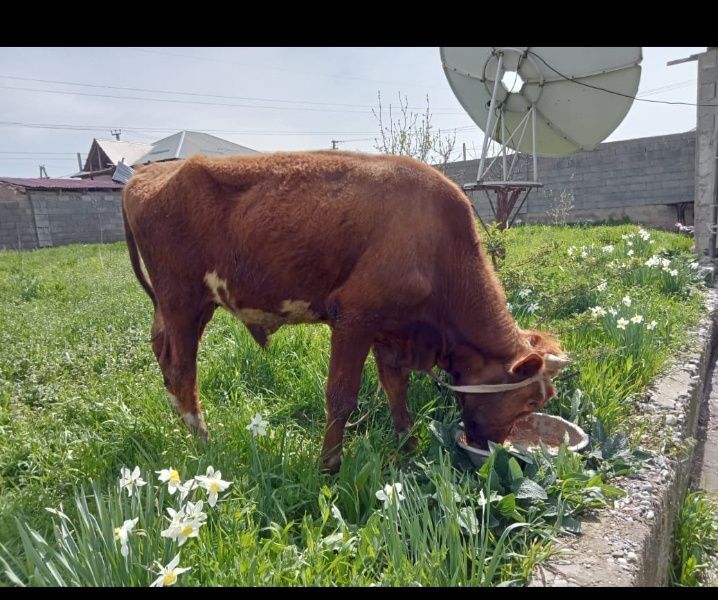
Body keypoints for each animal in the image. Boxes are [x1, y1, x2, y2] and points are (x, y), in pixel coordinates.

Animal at [122, 151, 568, 474]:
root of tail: (148, 173)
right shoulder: (353, 317)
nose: (491, 447)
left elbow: (395, 388)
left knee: (162, 355)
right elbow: (340, 397)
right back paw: (204, 442)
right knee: (183, 371)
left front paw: (408, 445)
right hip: (181, 300)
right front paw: (329, 465)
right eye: (530, 401)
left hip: (180, 308)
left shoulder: (391, 330)